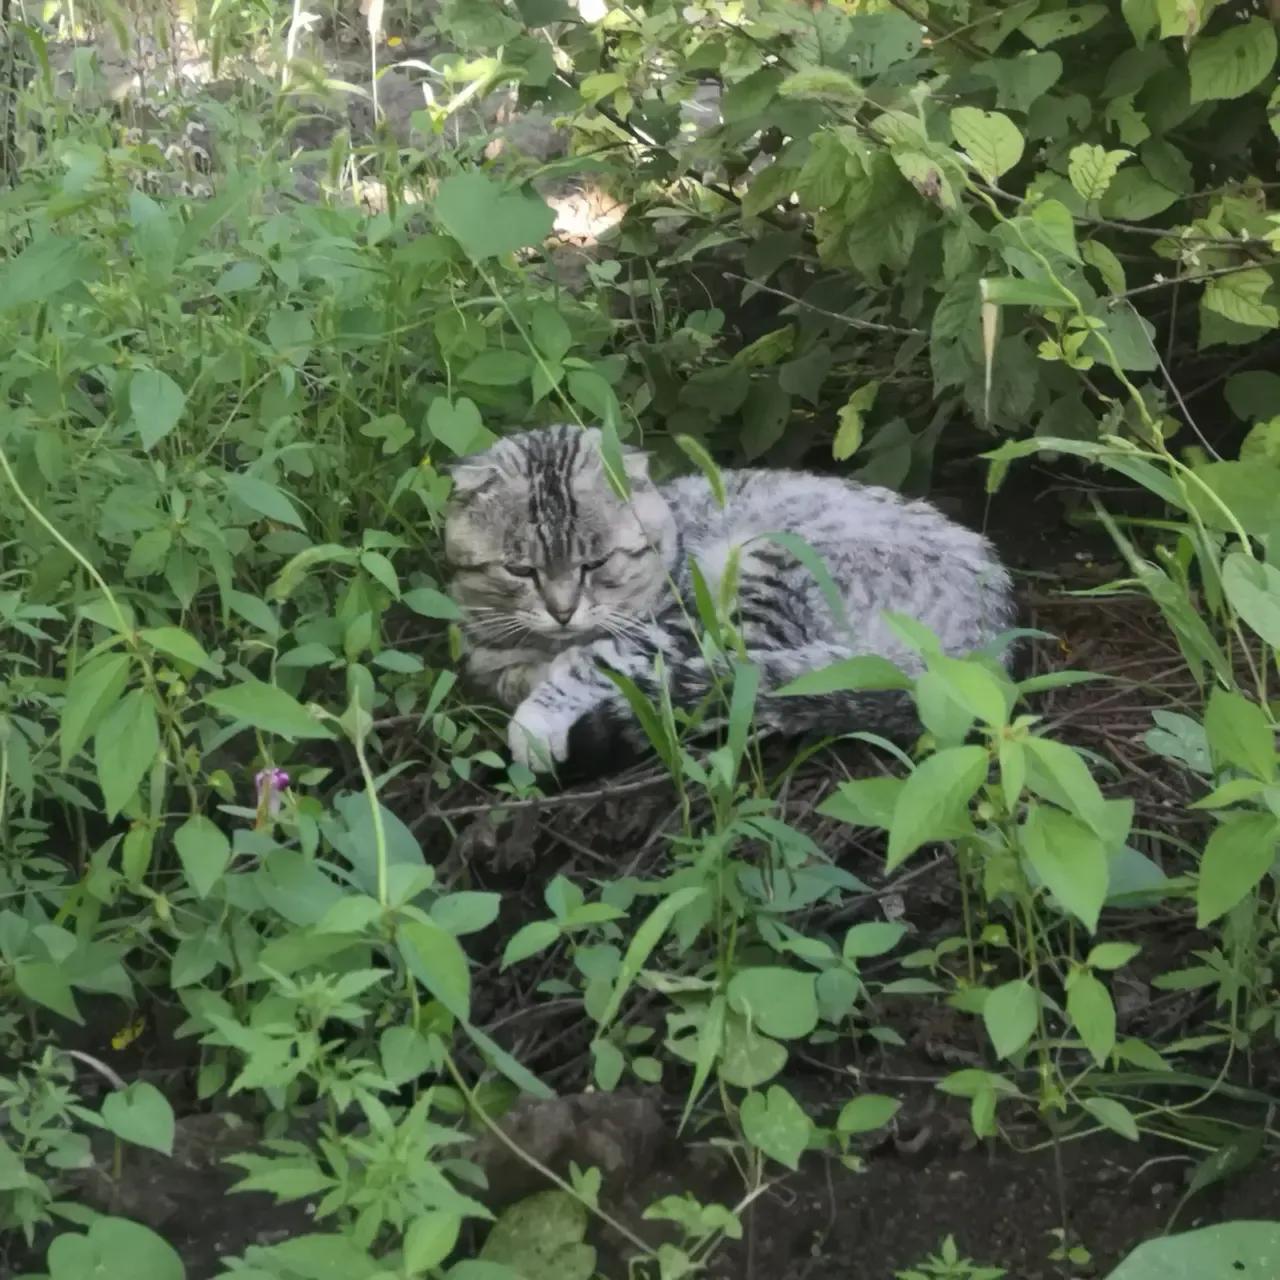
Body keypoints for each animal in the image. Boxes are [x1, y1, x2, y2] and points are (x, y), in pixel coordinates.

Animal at [445, 427, 1013, 768]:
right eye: (521, 570)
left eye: (595, 564)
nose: (562, 612)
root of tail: (986, 643)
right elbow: (512, 670)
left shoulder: (672, 623)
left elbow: (596, 658)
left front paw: (538, 717)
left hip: (772, 565)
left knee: (737, 675)